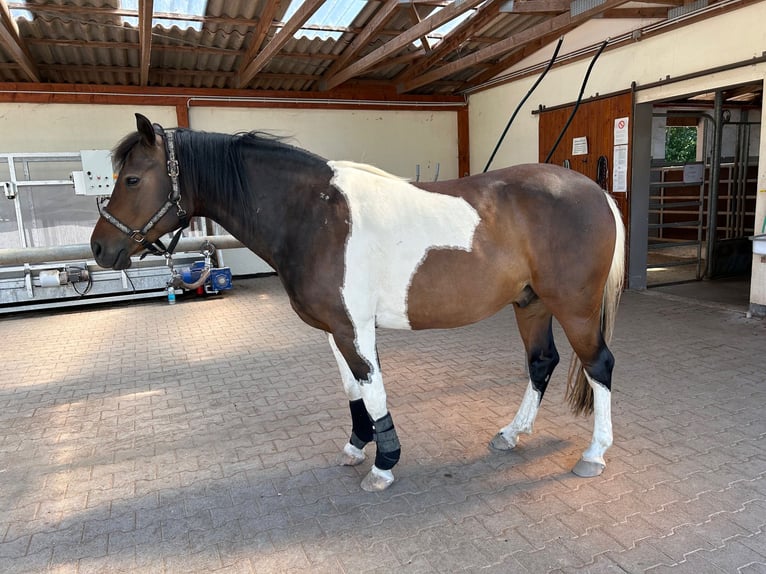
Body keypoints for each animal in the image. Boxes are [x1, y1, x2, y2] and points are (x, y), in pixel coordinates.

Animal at [91, 113, 625, 492]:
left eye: (132, 179)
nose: (99, 248)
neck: (315, 215)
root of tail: (595, 191)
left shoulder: (355, 327)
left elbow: (373, 388)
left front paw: (384, 464)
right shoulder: (335, 329)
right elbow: (352, 389)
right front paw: (356, 446)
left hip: (574, 307)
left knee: (598, 364)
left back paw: (594, 454)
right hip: (530, 303)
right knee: (542, 362)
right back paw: (512, 434)